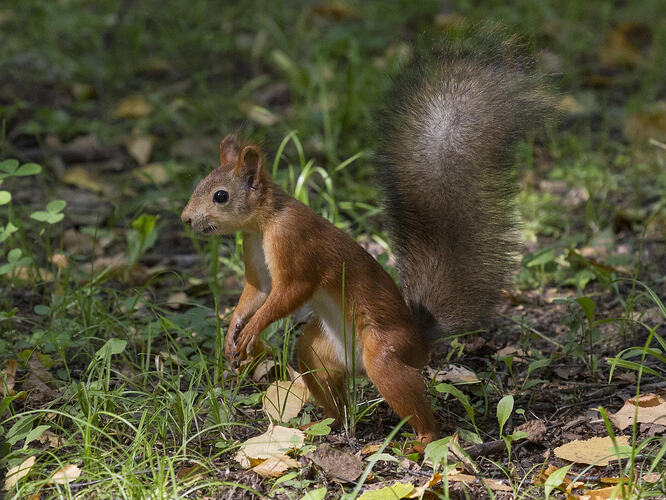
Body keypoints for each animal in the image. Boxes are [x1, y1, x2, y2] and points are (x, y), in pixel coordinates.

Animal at [181, 34, 548, 447]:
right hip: (318, 352)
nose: (186, 219)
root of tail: (420, 342)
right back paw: (319, 427)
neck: (263, 222)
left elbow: (292, 288)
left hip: (385, 355)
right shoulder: (253, 253)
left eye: (220, 196)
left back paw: (419, 440)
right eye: (201, 184)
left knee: (411, 402)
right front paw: (233, 331)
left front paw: (253, 329)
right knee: (327, 389)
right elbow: (257, 290)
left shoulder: (292, 239)